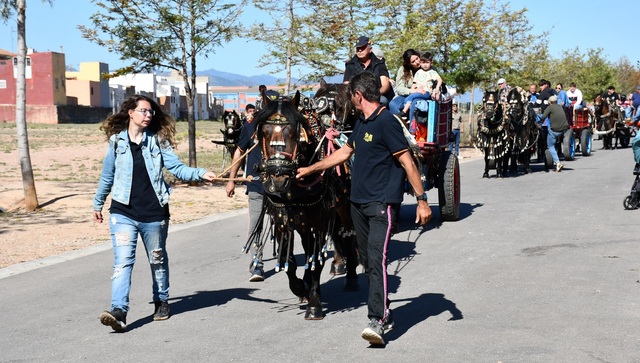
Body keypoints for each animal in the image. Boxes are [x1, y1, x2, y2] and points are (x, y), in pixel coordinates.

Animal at [249, 91, 360, 322]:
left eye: (295, 133)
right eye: (264, 132)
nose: (278, 178)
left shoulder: (319, 221)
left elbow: (315, 259)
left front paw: (314, 304)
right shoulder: (283, 221)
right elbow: (289, 262)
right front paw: (301, 289)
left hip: (342, 209)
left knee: (346, 235)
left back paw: (351, 276)